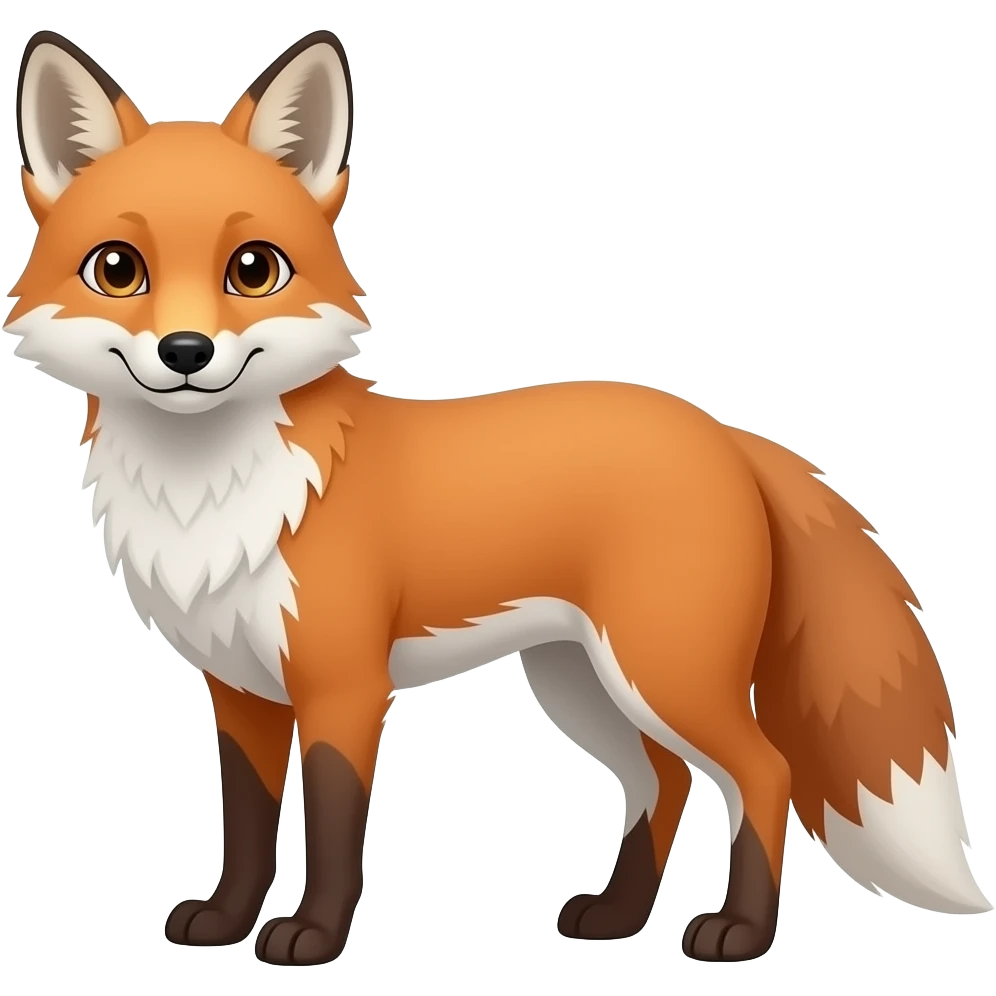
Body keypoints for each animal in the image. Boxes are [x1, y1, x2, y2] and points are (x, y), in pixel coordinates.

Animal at [5, 26, 991, 968]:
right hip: (584, 683)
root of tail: (721, 432)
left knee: (764, 773)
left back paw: (738, 935)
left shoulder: (343, 686)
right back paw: (617, 918)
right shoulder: (241, 689)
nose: (186, 352)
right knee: (665, 781)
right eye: (118, 269)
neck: (211, 495)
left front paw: (312, 938)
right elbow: (244, 826)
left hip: (663, 673)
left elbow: (333, 827)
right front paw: (222, 922)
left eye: (253, 269)